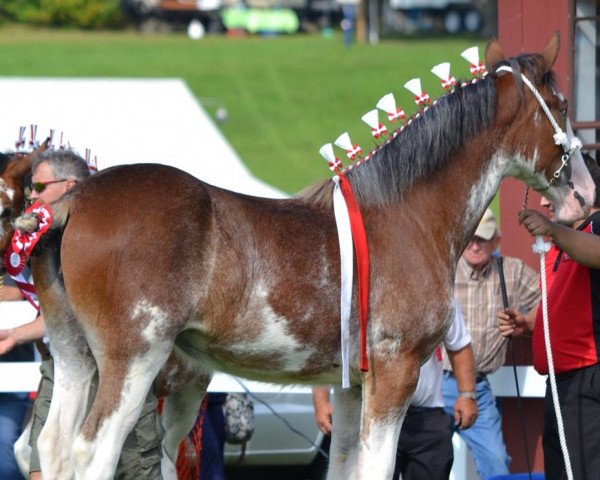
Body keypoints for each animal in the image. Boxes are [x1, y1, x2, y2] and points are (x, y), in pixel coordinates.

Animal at [2, 37, 596, 480]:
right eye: (563, 107)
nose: (585, 196)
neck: (407, 216)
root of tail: (76, 198)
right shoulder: (396, 373)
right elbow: (377, 469)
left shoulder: (351, 387)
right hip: (134, 363)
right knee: (91, 453)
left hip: (78, 357)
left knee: (50, 448)